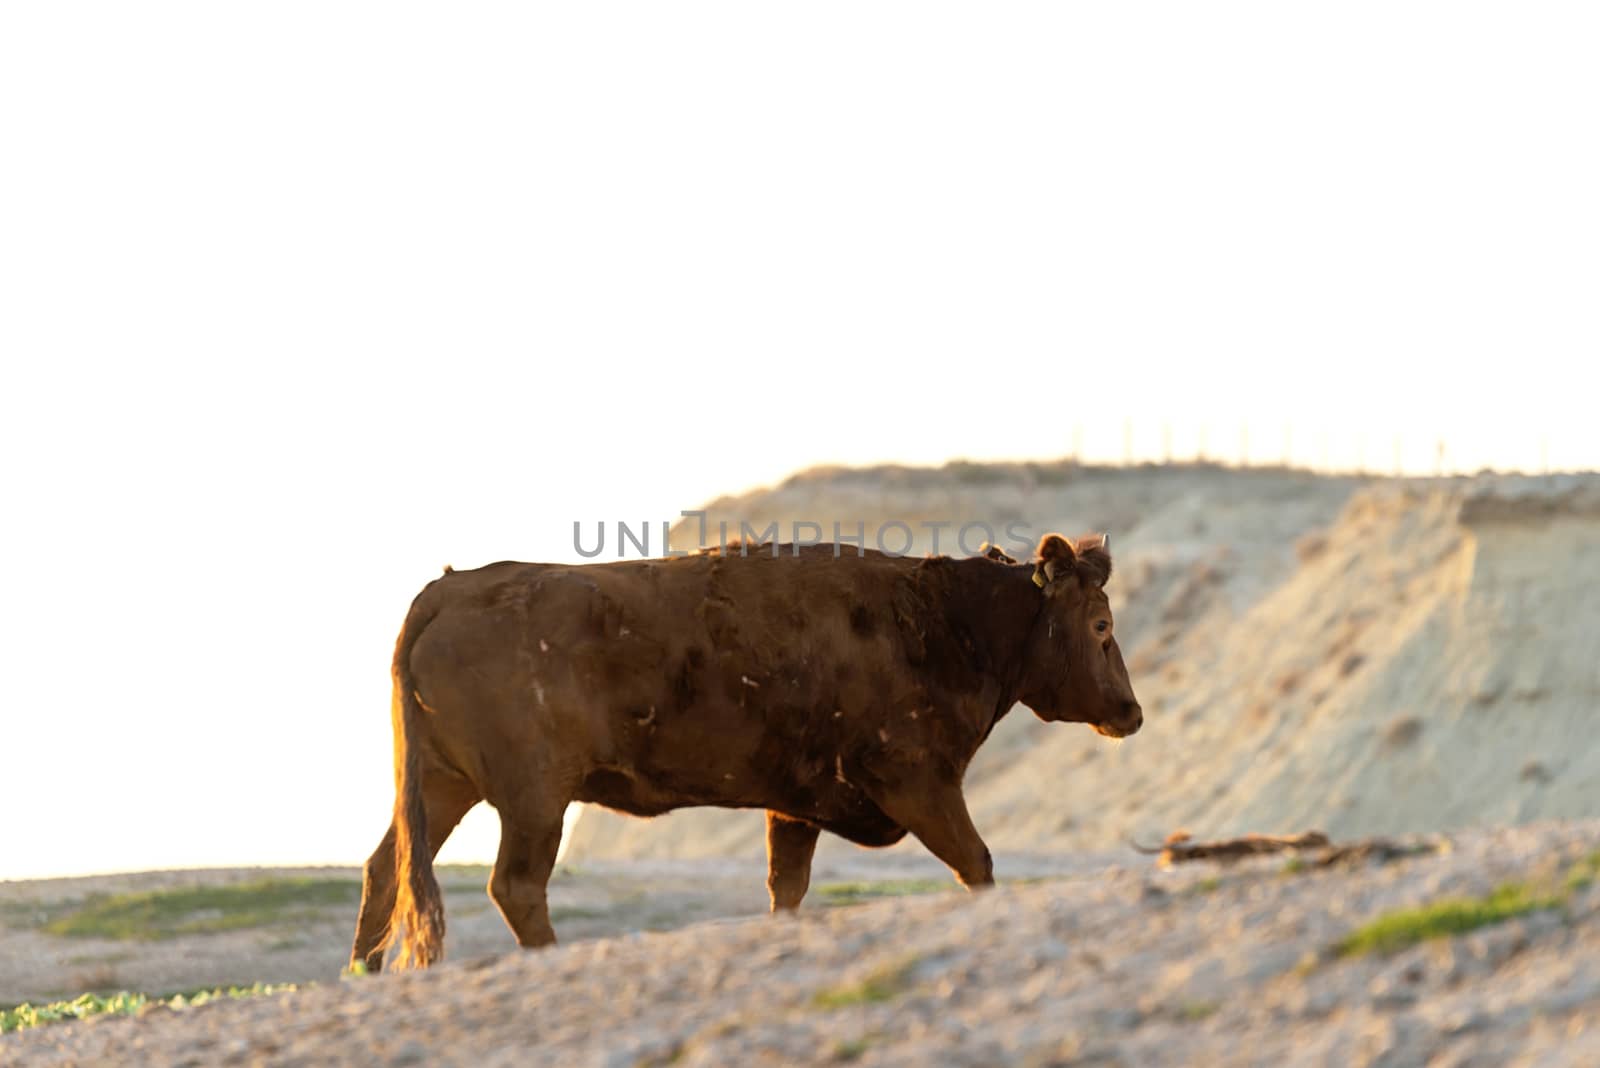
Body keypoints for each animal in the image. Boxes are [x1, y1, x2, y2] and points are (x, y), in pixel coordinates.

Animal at [356, 530, 1145, 965]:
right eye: (1102, 625)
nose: (1131, 712)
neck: (950, 623)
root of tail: (453, 589)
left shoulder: (796, 807)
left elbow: (786, 888)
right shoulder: (919, 783)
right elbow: (976, 864)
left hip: (446, 785)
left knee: (386, 872)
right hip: (533, 798)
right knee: (515, 886)